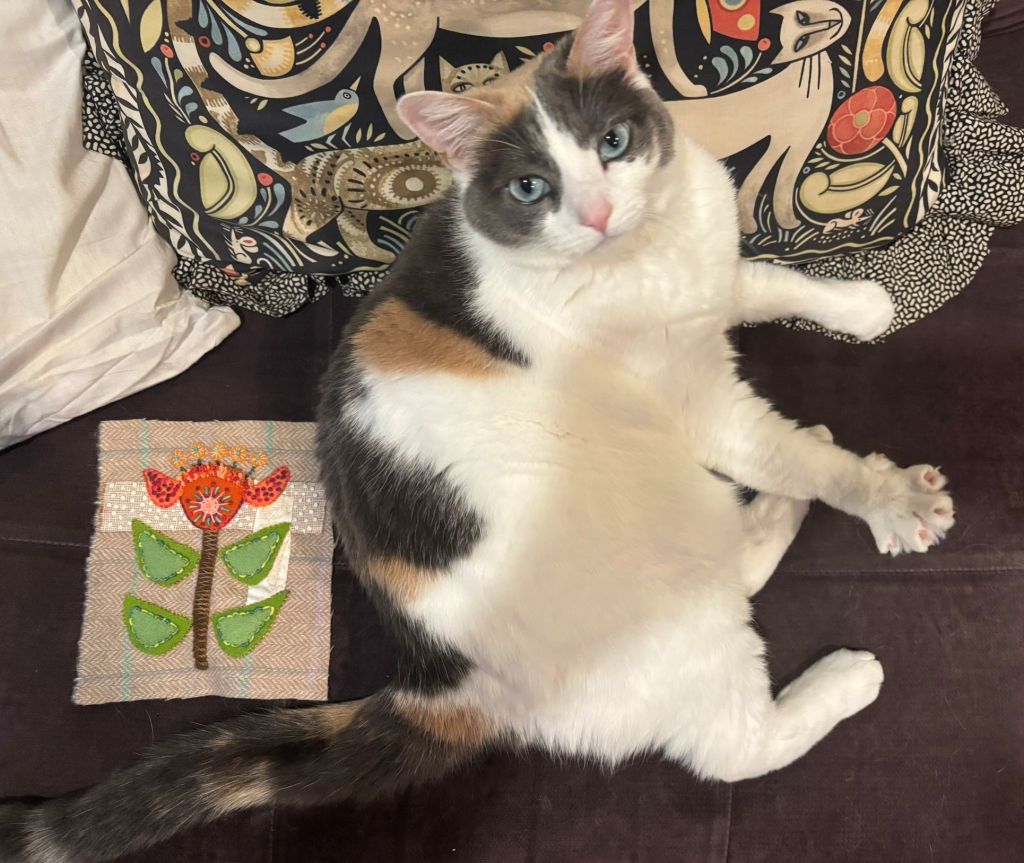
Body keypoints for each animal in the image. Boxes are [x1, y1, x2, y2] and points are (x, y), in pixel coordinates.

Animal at [0, 2, 954, 860]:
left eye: (612, 143)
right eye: (532, 188)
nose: (598, 213)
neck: (644, 256)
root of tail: (450, 681)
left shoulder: (708, 279)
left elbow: (763, 280)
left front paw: (860, 305)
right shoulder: (698, 404)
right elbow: (801, 454)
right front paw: (888, 498)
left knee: (736, 564)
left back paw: (772, 516)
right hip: (669, 580)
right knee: (737, 744)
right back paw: (841, 667)